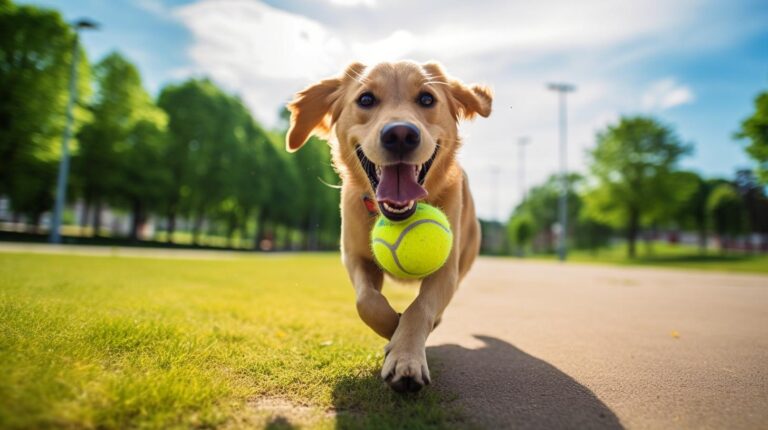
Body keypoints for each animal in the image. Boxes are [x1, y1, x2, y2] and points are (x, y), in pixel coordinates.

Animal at [286, 61, 492, 394]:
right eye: (366, 99)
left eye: (427, 99)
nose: (400, 134)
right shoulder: (355, 257)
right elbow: (366, 302)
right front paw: (392, 330)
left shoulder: (446, 271)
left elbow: (420, 309)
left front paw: (405, 357)